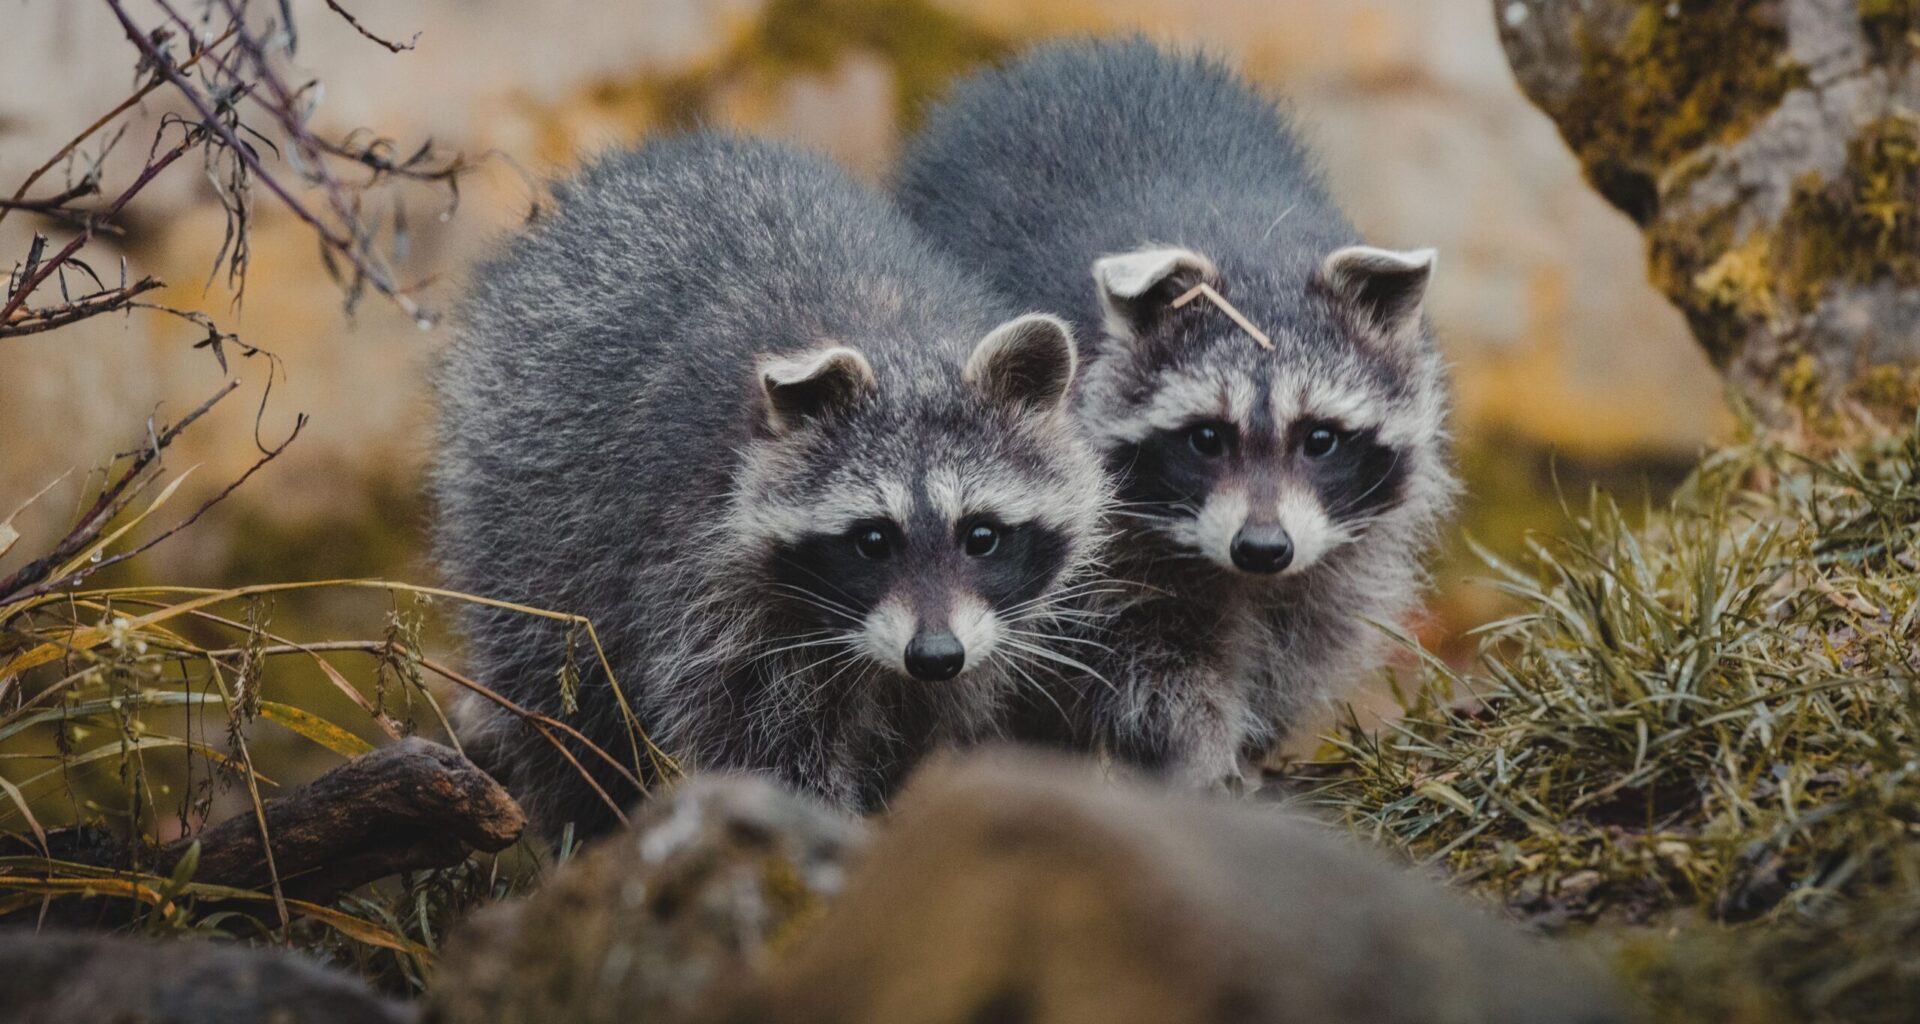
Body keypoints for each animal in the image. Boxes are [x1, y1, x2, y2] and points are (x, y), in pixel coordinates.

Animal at [433, 134, 1108, 836]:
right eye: (872, 540)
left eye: (981, 535)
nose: (933, 655)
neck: (897, 341)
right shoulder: (702, 573)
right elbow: (759, 743)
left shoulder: (981, 636)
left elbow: (926, 728)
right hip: (527, 504)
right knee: (559, 697)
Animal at [894, 40, 1457, 787]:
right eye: (1207, 438)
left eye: (1321, 438)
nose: (1262, 548)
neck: (1251, 247)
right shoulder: (1100, 545)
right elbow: (1145, 662)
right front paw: (1196, 751)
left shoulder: (1340, 544)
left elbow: (1306, 635)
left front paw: (1252, 739)